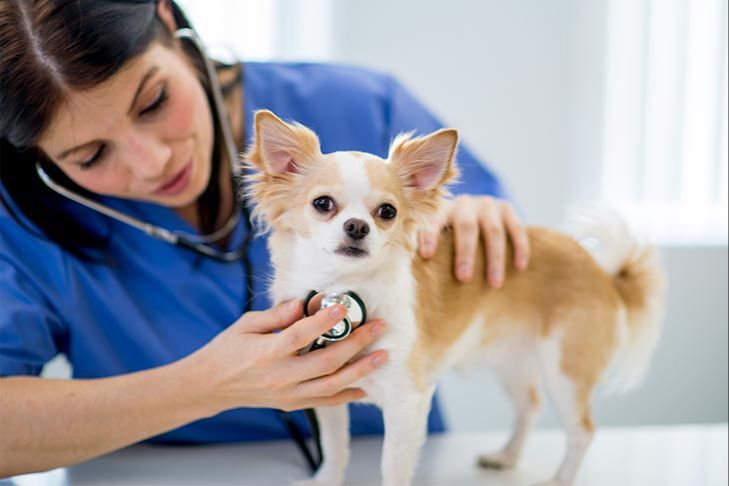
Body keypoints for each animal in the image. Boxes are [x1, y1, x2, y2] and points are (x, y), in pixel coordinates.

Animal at [242, 110, 664, 486]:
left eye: (387, 212)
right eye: (322, 204)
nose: (358, 226)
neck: (343, 287)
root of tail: (602, 272)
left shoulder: (407, 400)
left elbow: (393, 467)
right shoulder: (328, 395)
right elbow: (335, 450)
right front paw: (325, 481)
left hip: (565, 370)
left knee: (582, 431)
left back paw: (558, 480)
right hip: (515, 359)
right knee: (529, 405)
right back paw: (506, 457)